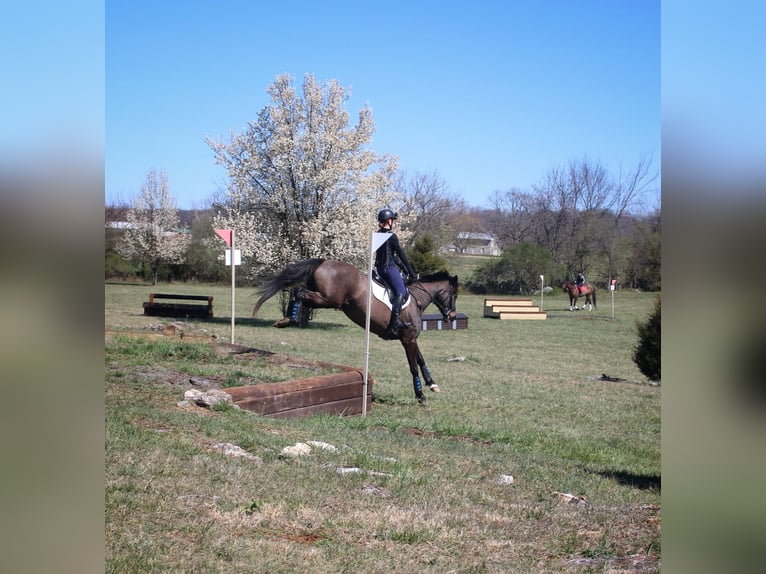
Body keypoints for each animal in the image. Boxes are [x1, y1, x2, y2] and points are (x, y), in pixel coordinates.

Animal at [252, 258, 460, 408]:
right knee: (298, 291)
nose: (452, 316)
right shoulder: (408, 339)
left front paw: (432, 384)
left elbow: (421, 360)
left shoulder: (409, 339)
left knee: (298, 292)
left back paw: (287, 320)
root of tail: (324, 261)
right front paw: (421, 396)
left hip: (323, 299)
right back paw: (288, 320)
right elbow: (413, 366)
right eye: (455, 295)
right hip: (329, 299)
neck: (417, 299)